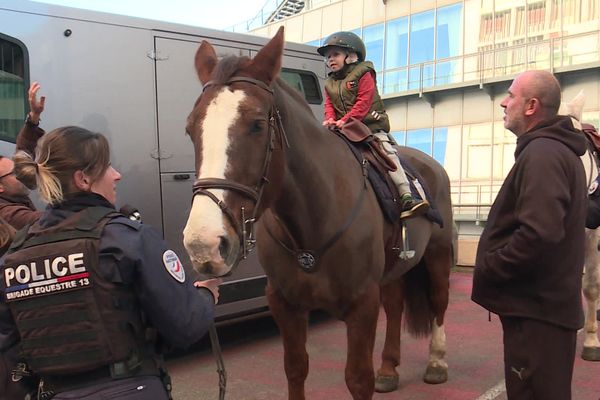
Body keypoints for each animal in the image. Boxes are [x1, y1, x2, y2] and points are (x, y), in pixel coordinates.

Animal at [183, 26, 450, 398]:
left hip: (438, 253)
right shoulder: (285, 304)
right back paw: (388, 368)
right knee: (396, 307)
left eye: (257, 125)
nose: (203, 244)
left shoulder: (362, 304)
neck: (313, 221)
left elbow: (358, 378)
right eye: (191, 128)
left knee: (439, 301)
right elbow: (295, 368)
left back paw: (437, 363)